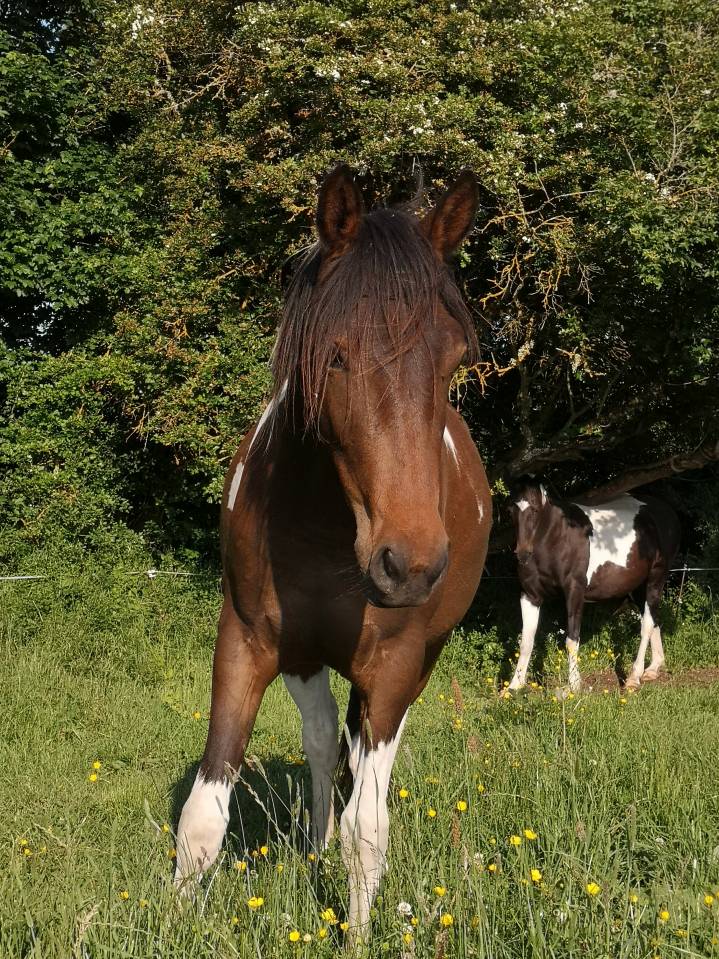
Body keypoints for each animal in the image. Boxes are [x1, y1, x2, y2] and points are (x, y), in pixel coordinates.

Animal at [173, 165, 492, 932]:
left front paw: (358, 933)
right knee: (322, 742)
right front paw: (166, 923)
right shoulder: (247, 640)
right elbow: (203, 817)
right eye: (338, 354)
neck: (324, 528)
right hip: (303, 655)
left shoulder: (394, 663)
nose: (409, 564)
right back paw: (311, 846)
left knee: (367, 756)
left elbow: (367, 829)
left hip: (417, 661)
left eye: (452, 362)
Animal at [506, 477, 680, 694]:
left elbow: (572, 640)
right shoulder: (530, 595)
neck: (557, 537)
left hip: (656, 577)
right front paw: (513, 687)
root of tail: (666, 512)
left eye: (536, 509)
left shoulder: (574, 593)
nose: (523, 554)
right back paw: (653, 668)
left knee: (647, 624)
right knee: (653, 618)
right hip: (638, 587)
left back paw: (633, 678)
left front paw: (574, 685)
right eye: (510, 510)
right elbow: (526, 641)